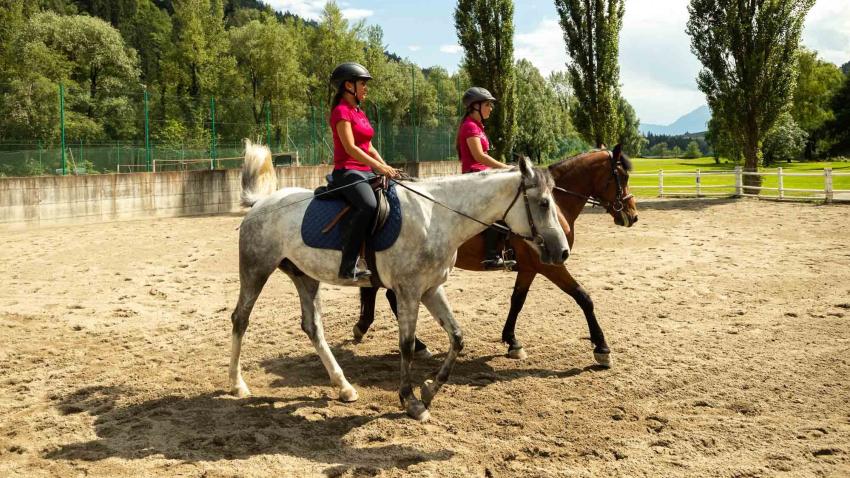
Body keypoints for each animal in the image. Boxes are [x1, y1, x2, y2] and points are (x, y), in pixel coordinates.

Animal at [229, 140, 568, 420]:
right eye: (544, 203)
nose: (562, 251)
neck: (437, 216)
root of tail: (261, 203)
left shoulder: (431, 288)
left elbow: (457, 337)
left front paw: (429, 390)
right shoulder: (409, 290)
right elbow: (405, 345)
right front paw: (411, 400)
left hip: (306, 276)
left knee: (313, 328)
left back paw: (344, 386)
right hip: (256, 269)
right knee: (240, 319)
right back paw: (237, 384)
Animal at [352, 144, 636, 368]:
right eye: (621, 176)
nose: (632, 216)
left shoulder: (530, 268)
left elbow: (517, 300)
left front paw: (512, 341)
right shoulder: (550, 266)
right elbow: (583, 297)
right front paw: (602, 348)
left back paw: (378, 331)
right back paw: (406, 341)